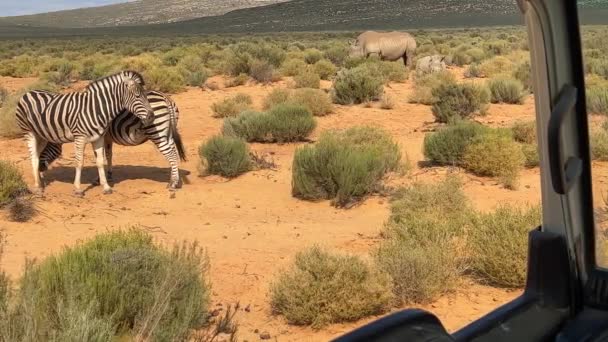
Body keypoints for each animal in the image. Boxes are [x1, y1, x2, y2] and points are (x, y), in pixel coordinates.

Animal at [16, 70, 156, 196]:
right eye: (137, 96)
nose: (152, 117)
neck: (96, 109)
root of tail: (29, 92)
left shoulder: (99, 138)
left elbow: (100, 161)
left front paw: (106, 187)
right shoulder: (80, 137)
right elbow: (79, 162)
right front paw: (78, 189)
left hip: (41, 134)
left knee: (37, 155)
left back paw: (40, 181)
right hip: (29, 132)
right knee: (34, 157)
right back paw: (37, 187)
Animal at [39, 91, 186, 191]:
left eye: (45, 147)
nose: (40, 169)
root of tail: (165, 98)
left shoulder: (99, 136)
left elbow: (101, 156)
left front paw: (99, 179)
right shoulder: (107, 137)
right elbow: (108, 155)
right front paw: (108, 175)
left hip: (157, 131)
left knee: (171, 154)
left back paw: (173, 184)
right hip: (167, 133)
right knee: (174, 151)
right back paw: (174, 179)